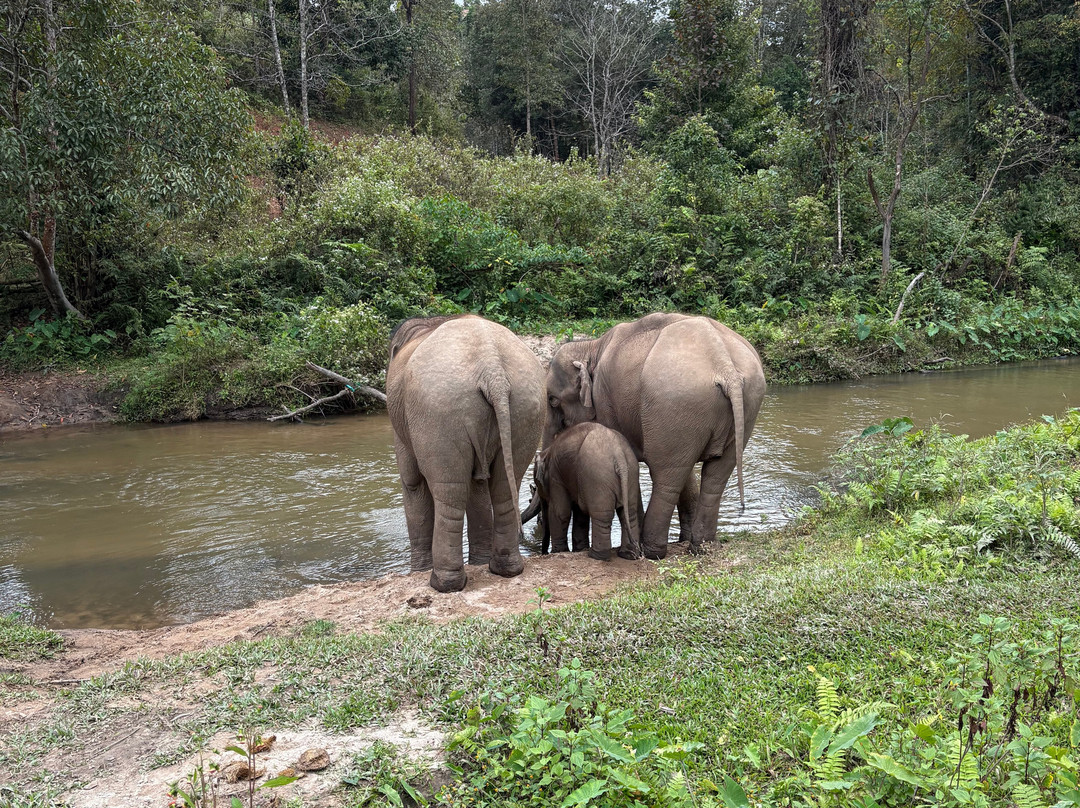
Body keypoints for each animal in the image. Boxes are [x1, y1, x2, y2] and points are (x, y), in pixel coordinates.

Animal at [387, 314, 545, 592]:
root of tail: (492, 369)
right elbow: (480, 484)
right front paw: (479, 563)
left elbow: (412, 482)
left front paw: (418, 572)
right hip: (526, 407)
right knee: (504, 487)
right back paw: (505, 569)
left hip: (440, 412)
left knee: (450, 493)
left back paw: (443, 583)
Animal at [525, 421, 643, 561]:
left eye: (538, 483)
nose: (544, 553)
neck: (547, 452)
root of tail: (619, 456)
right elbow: (580, 514)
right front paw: (579, 549)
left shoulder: (556, 477)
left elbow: (560, 512)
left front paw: (559, 551)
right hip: (631, 473)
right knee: (629, 513)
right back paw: (629, 554)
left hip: (597, 477)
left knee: (602, 516)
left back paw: (596, 555)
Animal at [539, 313, 766, 559]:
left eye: (552, 400)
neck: (591, 346)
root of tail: (725, 367)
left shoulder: (606, 403)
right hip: (743, 404)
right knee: (712, 476)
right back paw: (700, 548)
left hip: (676, 403)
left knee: (667, 477)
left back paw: (651, 551)